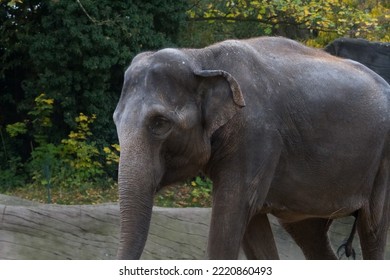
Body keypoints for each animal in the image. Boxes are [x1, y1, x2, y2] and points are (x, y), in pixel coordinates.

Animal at [112, 36, 390, 260]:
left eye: (160, 123)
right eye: (116, 120)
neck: (200, 58)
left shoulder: (256, 136)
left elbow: (232, 213)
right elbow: (253, 227)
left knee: (373, 228)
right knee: (310, 234)